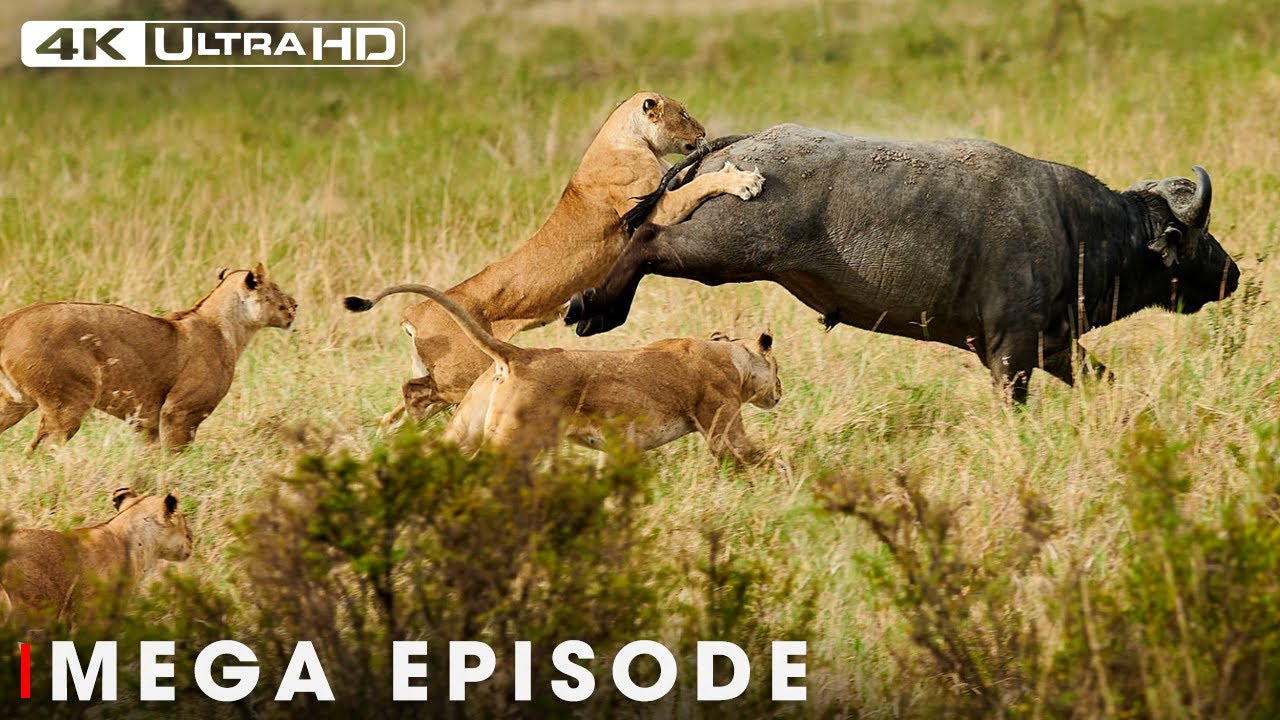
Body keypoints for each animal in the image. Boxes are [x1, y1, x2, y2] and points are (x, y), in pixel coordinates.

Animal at [0, 263, 297, 451]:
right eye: (276, 288)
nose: (295, 304)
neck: (229, 328)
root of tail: (11, 320)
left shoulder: (145, 423)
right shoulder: (180, 412)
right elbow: (176, 455)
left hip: (14, 403)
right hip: (69, 402)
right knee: (40, 450)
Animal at [345, 91, 765, 429]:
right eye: (684, 113)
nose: (704, 130)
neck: (626, 136)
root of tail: (412, 315)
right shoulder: (651, 209)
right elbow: (699, 184)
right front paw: (741, 179)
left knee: (395, 412)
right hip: (461, 375)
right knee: (415, 393)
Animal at [353, 284, 781, 464]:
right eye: (778, 371)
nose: (781, 391)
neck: (730, 355)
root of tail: (520, 354)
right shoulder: (723, 426)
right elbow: (759, 455)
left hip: (466, 426)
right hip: (516, 440)